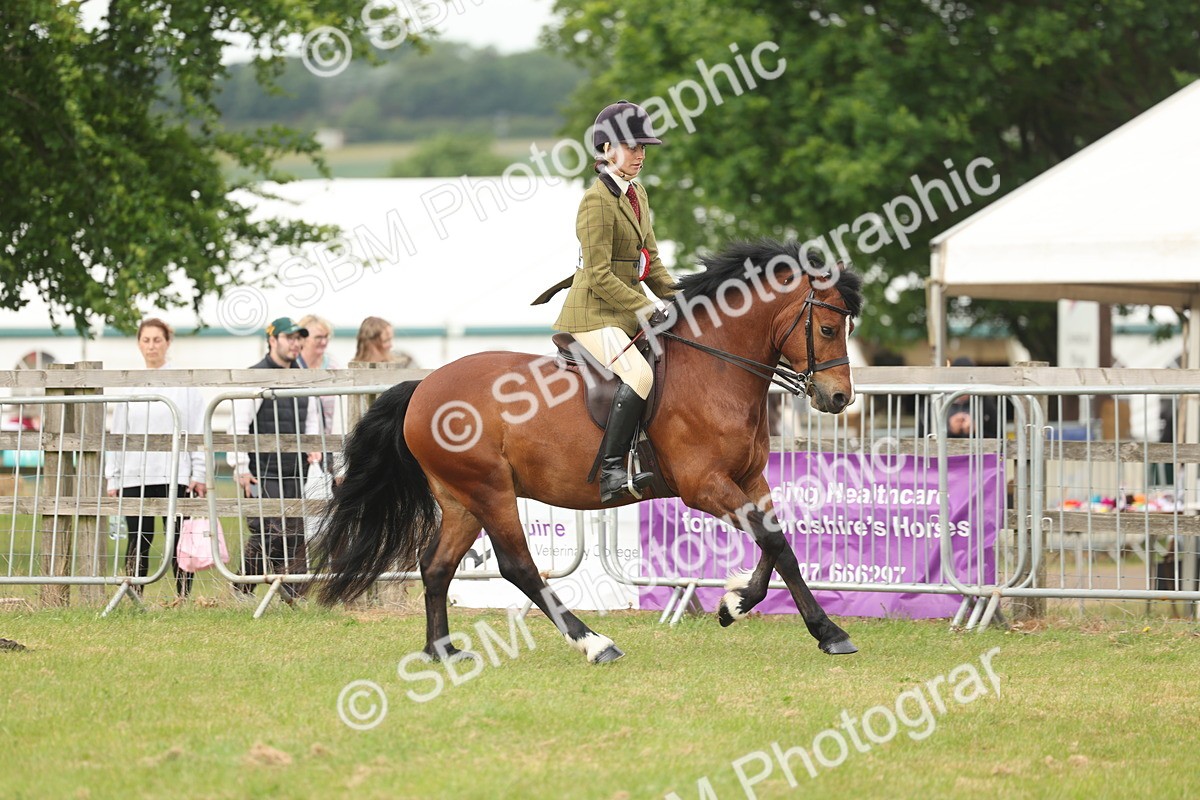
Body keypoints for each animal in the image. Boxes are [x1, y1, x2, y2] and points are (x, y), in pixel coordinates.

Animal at [313, 239, 864, 663]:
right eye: (828, 328)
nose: (839, 399)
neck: (716, 370)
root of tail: (424, 387)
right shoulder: (704, 485)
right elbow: (775, 543)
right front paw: (828, 632)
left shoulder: (750, 479)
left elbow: (777, 544)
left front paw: (736, 604)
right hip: (490, 490)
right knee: (518, 567)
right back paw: (595, 643)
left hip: (460, 497)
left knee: (436, 566)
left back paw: (443, 651)